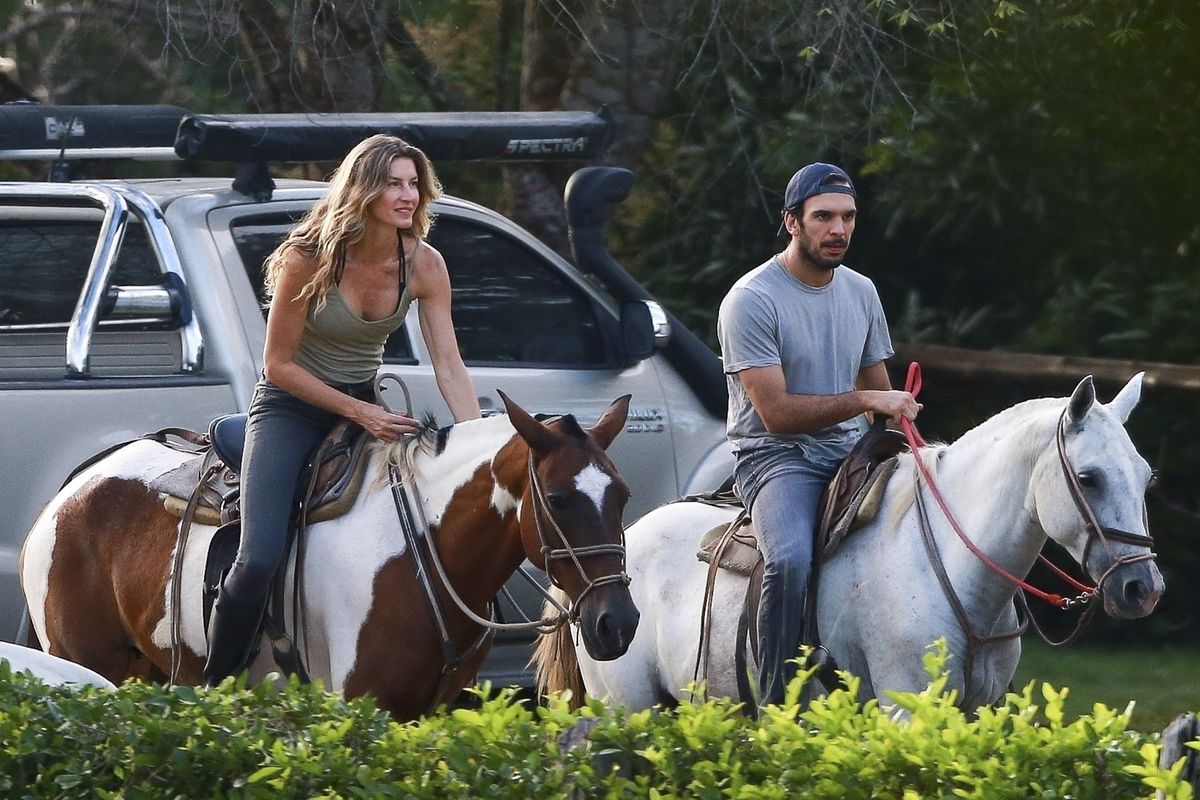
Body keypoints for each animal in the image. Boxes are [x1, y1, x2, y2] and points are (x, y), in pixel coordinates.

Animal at [18, 393, 638, 719]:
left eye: (623, 496)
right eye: (557, 499)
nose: (619, 623)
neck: (423, 551)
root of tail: (71, 492)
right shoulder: (363, 703)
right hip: (88, 666)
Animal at [535, 371, 1161, 710]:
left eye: (1146, 475)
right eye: (1089, 478)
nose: (1142, 588)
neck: (950, 565)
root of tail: (604, 561)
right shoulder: (905, 706)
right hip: (625, 708)